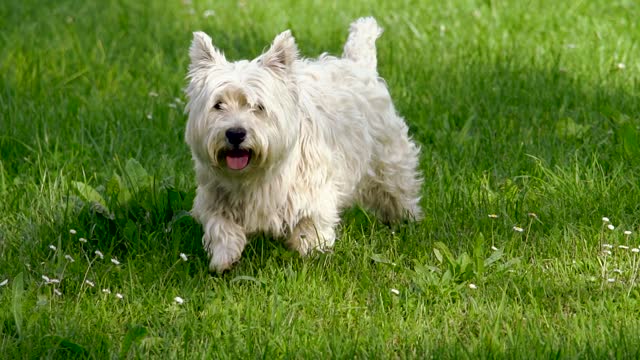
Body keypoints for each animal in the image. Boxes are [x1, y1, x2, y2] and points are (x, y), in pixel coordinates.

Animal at [185, 15, 422, 272]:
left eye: (258, 106)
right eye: (218, 105)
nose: (235, 134)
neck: (254, 177)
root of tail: (358, 65)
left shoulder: (313, 191)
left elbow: (310, 228)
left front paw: (311, 257)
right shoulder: (215, 196)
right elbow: (221, 226)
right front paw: (223, 259)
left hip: (389, 160)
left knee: (399, 191)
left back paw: (407, 221)